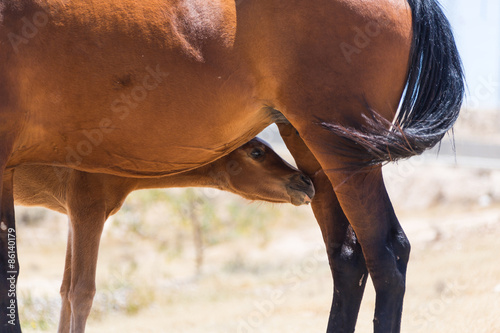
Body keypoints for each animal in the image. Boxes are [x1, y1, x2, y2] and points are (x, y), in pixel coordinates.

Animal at [14, 136, 312, 330]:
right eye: (257, 152)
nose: (305, 182)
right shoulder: (87, 211)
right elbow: (82, 293)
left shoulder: (71, 217)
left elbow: (65, 292)